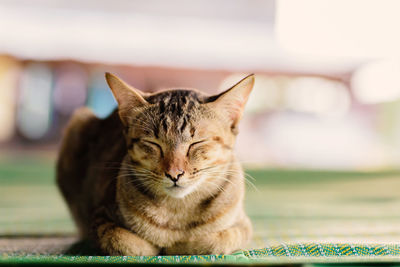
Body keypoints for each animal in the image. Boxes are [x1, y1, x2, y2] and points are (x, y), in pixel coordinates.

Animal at [56, 72, 255, 256]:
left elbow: (215, 242)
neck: (178, 211)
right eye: (153, 144)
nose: (174, 174)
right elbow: (123, 241)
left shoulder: (243, 225)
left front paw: (180, 246)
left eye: (196, 143)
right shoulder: (99, 218)